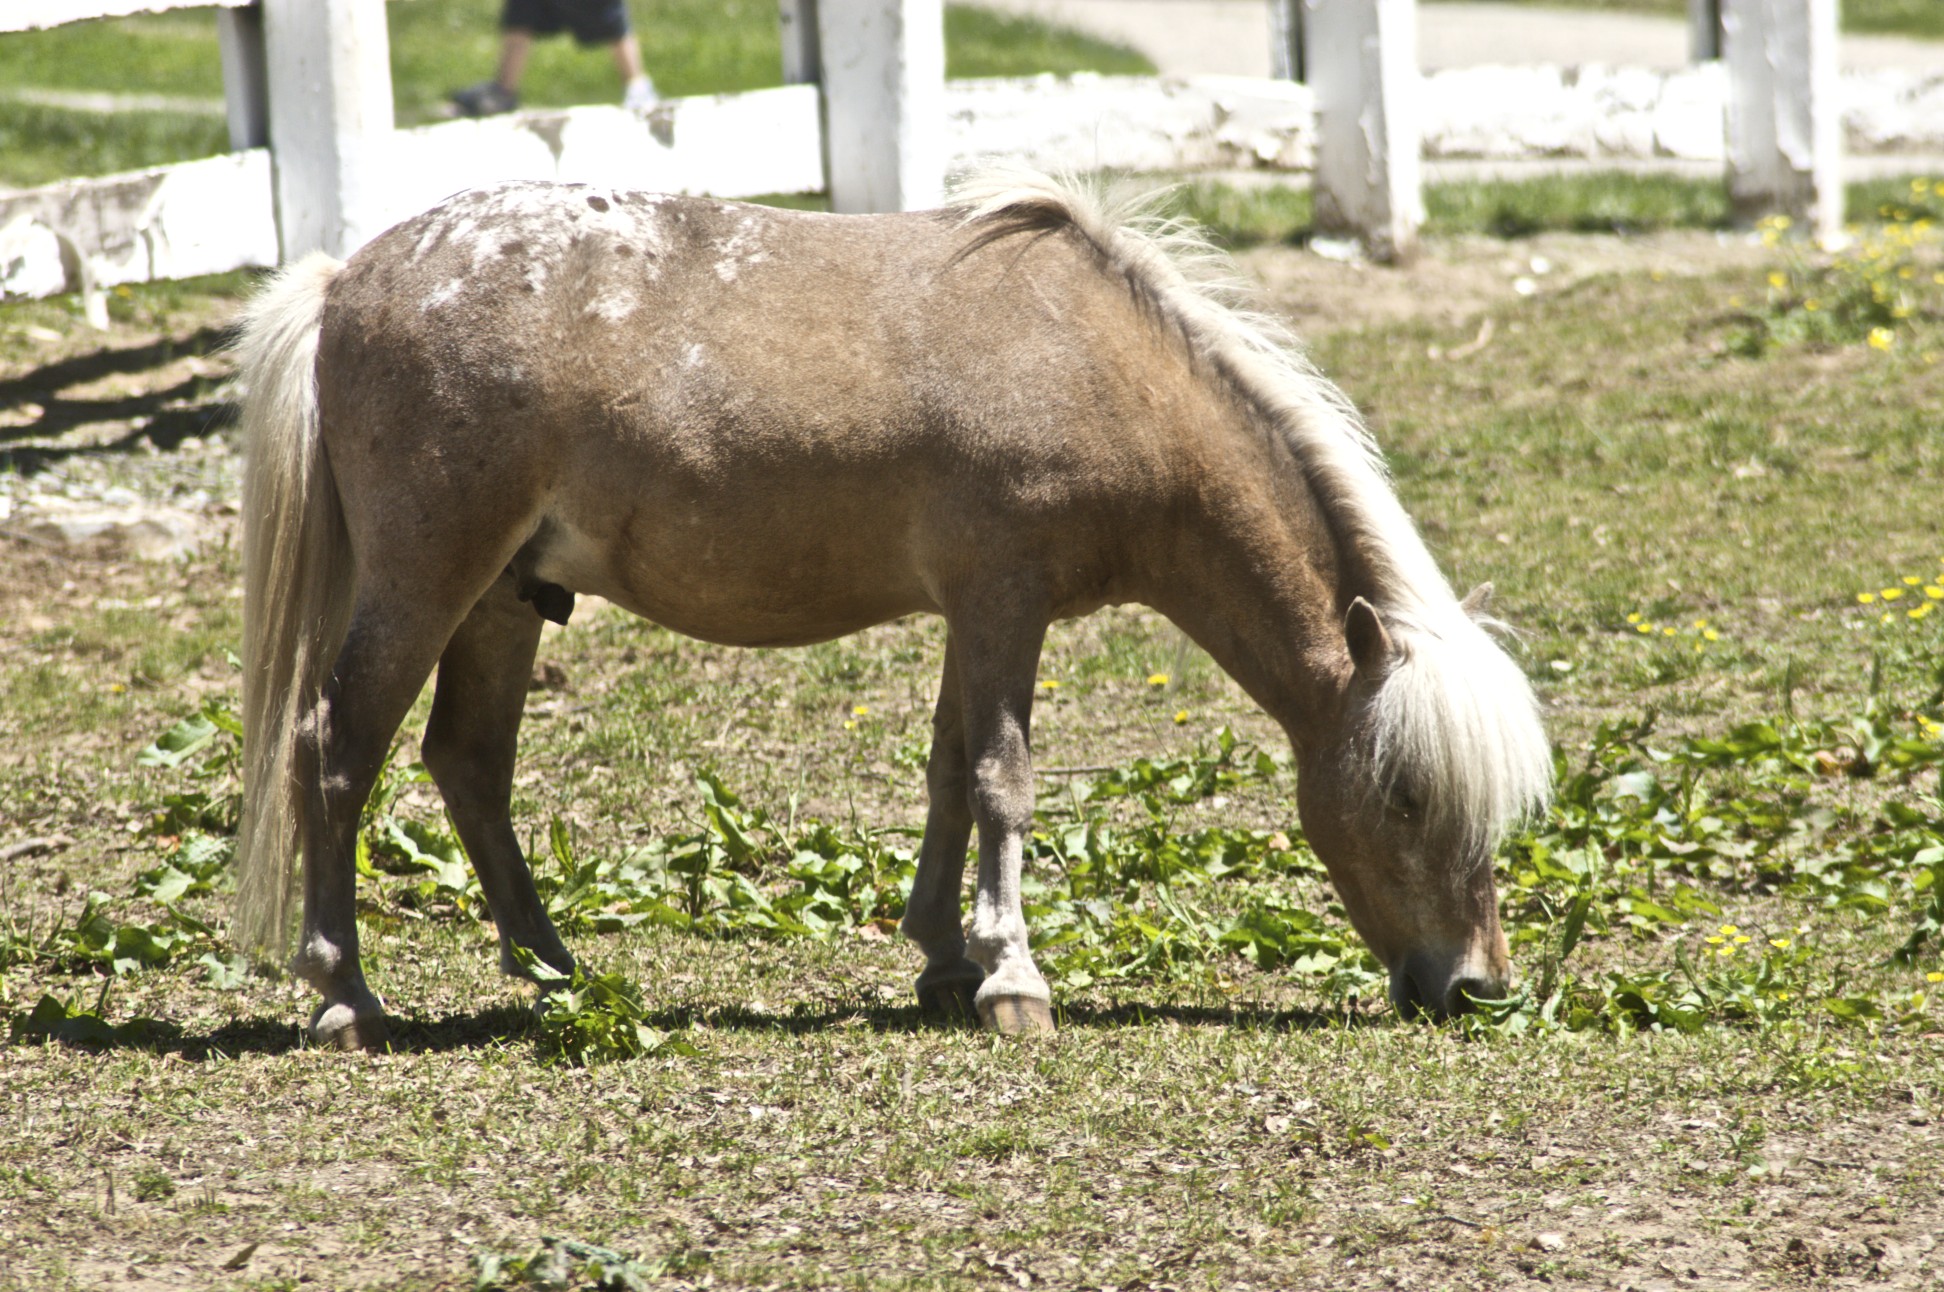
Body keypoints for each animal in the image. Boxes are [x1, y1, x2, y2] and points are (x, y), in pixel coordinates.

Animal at [227, 164, 1547, 1049]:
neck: (1094, 363)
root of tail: (345, 281)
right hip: (425, 582)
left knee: (467, 762)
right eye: (1408, 793)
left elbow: (950, 768)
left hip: (505, 598)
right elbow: (1004, 777)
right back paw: (344, 992)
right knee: (334, 750)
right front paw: (1014, 979)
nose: (1477, 984)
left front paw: (946, 959)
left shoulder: (974, 611)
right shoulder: (1006, 597)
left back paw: (558, 971)